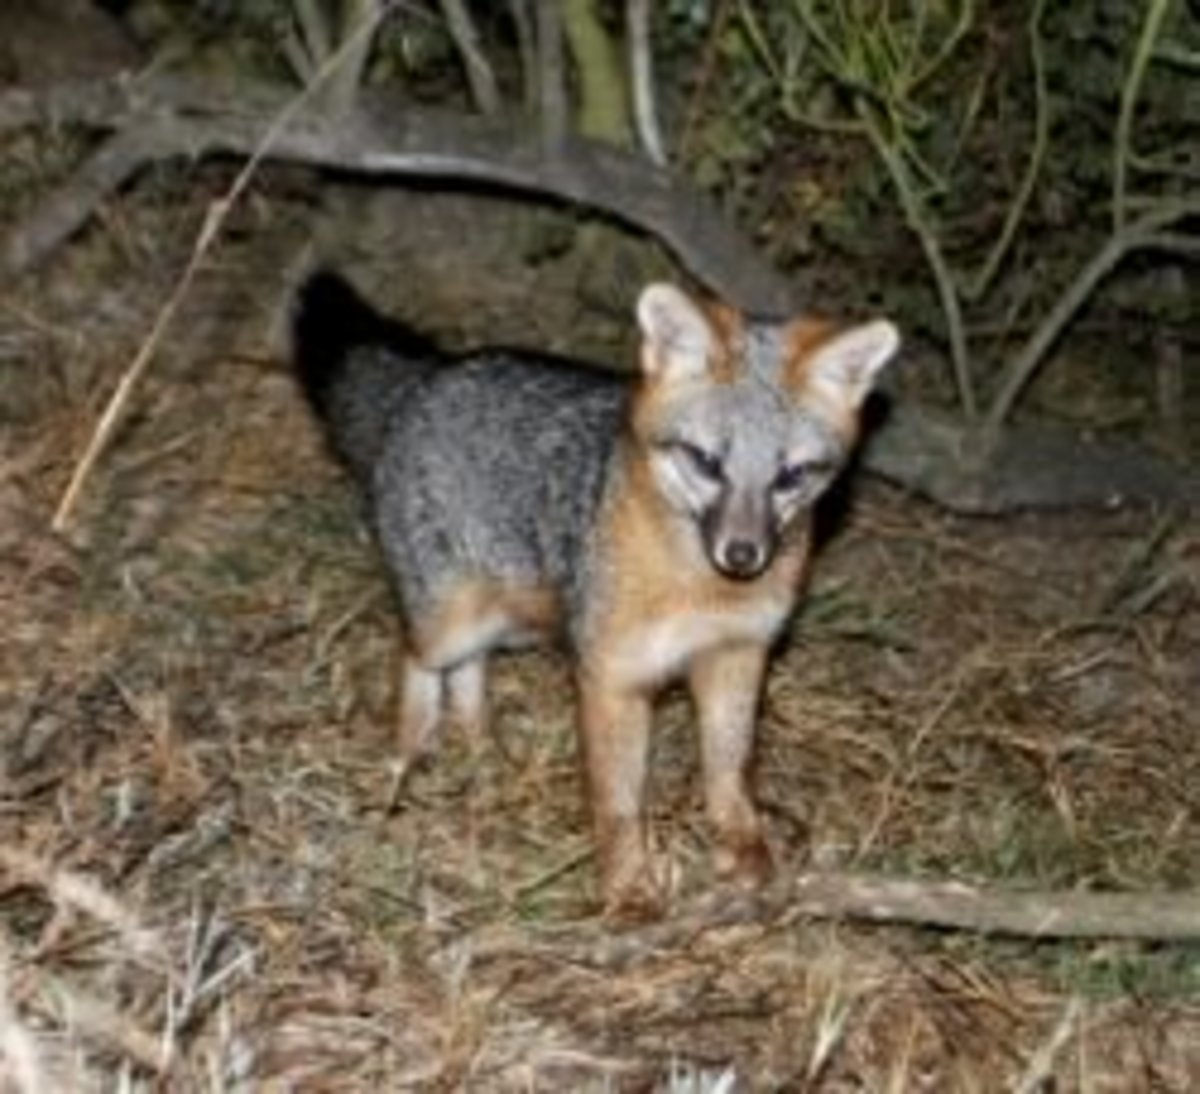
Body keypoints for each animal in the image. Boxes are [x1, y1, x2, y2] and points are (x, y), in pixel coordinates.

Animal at [292, 268, 902, 916]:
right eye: (707, 462)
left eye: (791, 476)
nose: (743, 555)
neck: (700, 590)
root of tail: (428, 376)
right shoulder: (613, 675)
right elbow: (619, 800)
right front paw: (629, 890)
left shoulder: (736, 654)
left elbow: (730, 768)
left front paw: (743, 849)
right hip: (451, 621)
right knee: (416, 658)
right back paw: (408, 755)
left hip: (504, 617)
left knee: (469, 674)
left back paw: (484, 751)